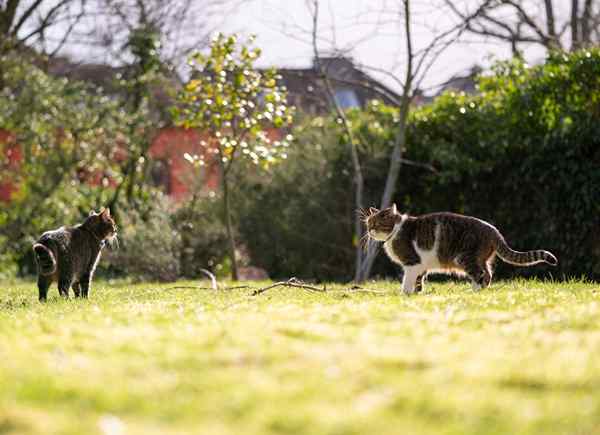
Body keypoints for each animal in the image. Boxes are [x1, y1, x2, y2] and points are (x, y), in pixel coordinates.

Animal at [366, 205, 556, 294]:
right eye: (368, 223)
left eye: (376, 223)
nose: (369, 231)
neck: (396, 229)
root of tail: (494, 230)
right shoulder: (421, 265)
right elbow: (419, 280)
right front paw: (416, 293)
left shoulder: (412, 262)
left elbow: (408, 280)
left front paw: (405, 294)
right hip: (481, 258)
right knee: (488, 273)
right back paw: (480, 291)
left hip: (463, 257)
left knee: (479, 274)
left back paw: (475, 292)